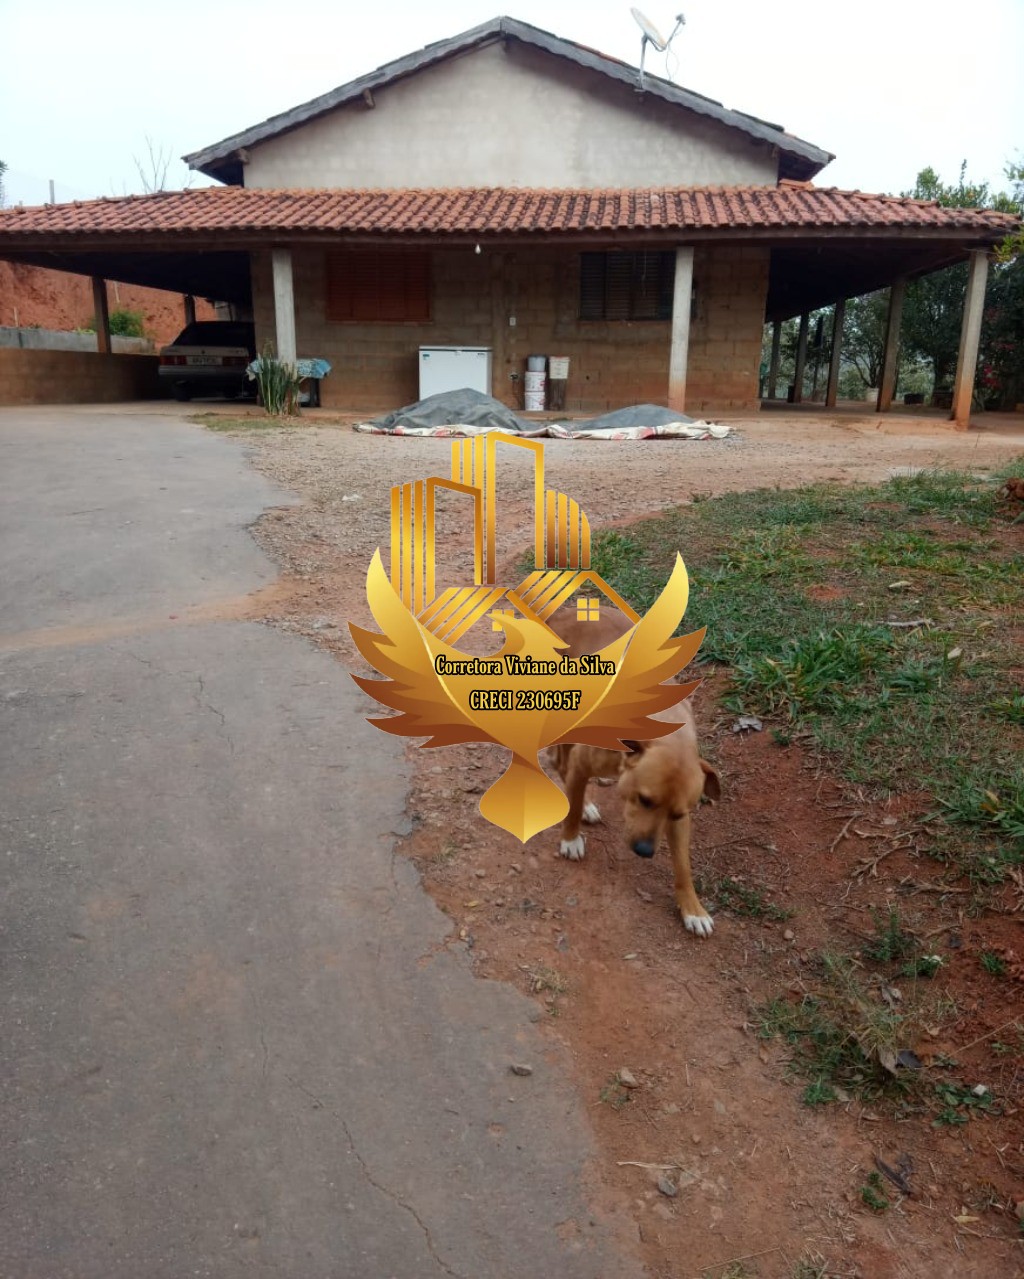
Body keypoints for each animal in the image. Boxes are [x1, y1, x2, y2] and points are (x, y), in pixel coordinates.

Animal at [552, 603, 721, 936]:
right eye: (644, 800)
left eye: (677, 814)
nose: (644, 850)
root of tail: (562, 613)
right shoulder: (583, 762)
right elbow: (572, 801)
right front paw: (571, 838)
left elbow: (683, 864)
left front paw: (693, 909)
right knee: (557, 762)